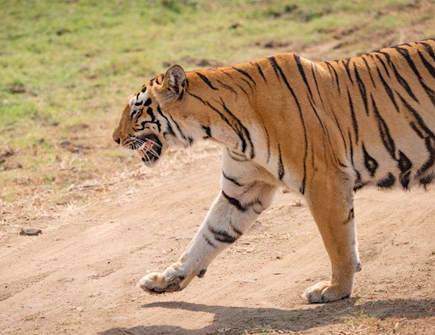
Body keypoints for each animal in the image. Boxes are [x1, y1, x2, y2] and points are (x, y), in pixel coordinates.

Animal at [112, 39, 435, 304]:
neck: (221, 127)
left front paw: (334, 290)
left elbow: (338, 242)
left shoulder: (324, 181)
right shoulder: (242, 190)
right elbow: (207, 236)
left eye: (135, 111)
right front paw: (164, 281)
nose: (114, 139)